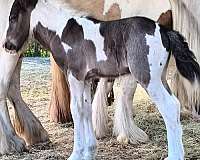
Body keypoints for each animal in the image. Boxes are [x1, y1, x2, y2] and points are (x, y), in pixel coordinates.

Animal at [3, 0, 200, 160]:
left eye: (13, 17)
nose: (7, 45)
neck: (62, 31)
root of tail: (165, 30)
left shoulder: (74, 76)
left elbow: (76, 110)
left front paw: (76, 154)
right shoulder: (85, 79)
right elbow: (85, 109)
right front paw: (89, 151)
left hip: (149, 79)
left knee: (170, 107)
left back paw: (174, 155)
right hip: (160, 78)